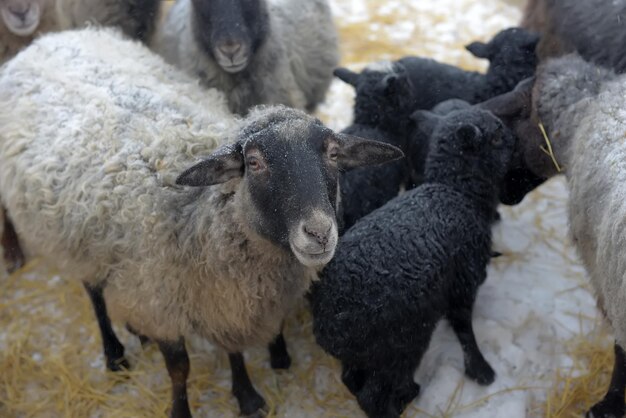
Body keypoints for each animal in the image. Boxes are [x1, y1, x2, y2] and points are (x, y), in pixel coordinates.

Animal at [0, 27, 400, 418]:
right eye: (254, 162)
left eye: (332, 154)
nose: (319, 233)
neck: (201, 215)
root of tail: (51, 39)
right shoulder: (160, 300)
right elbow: (179, 369)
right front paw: (182, 410)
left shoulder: (222, 300)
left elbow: (233, 349)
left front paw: (246, 397)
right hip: (74, 235)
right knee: (93, 291)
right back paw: (113, 352)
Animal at [308, 107, 512, 418]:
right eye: (498, 135)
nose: (514, 138)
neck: (456, 190)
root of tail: (329, 321)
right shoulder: (463, 282)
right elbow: (464, 328)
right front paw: (481, 369)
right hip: (401, 346)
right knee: (372, 396)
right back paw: (403, 398)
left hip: (366, 354)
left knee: (351, 379)